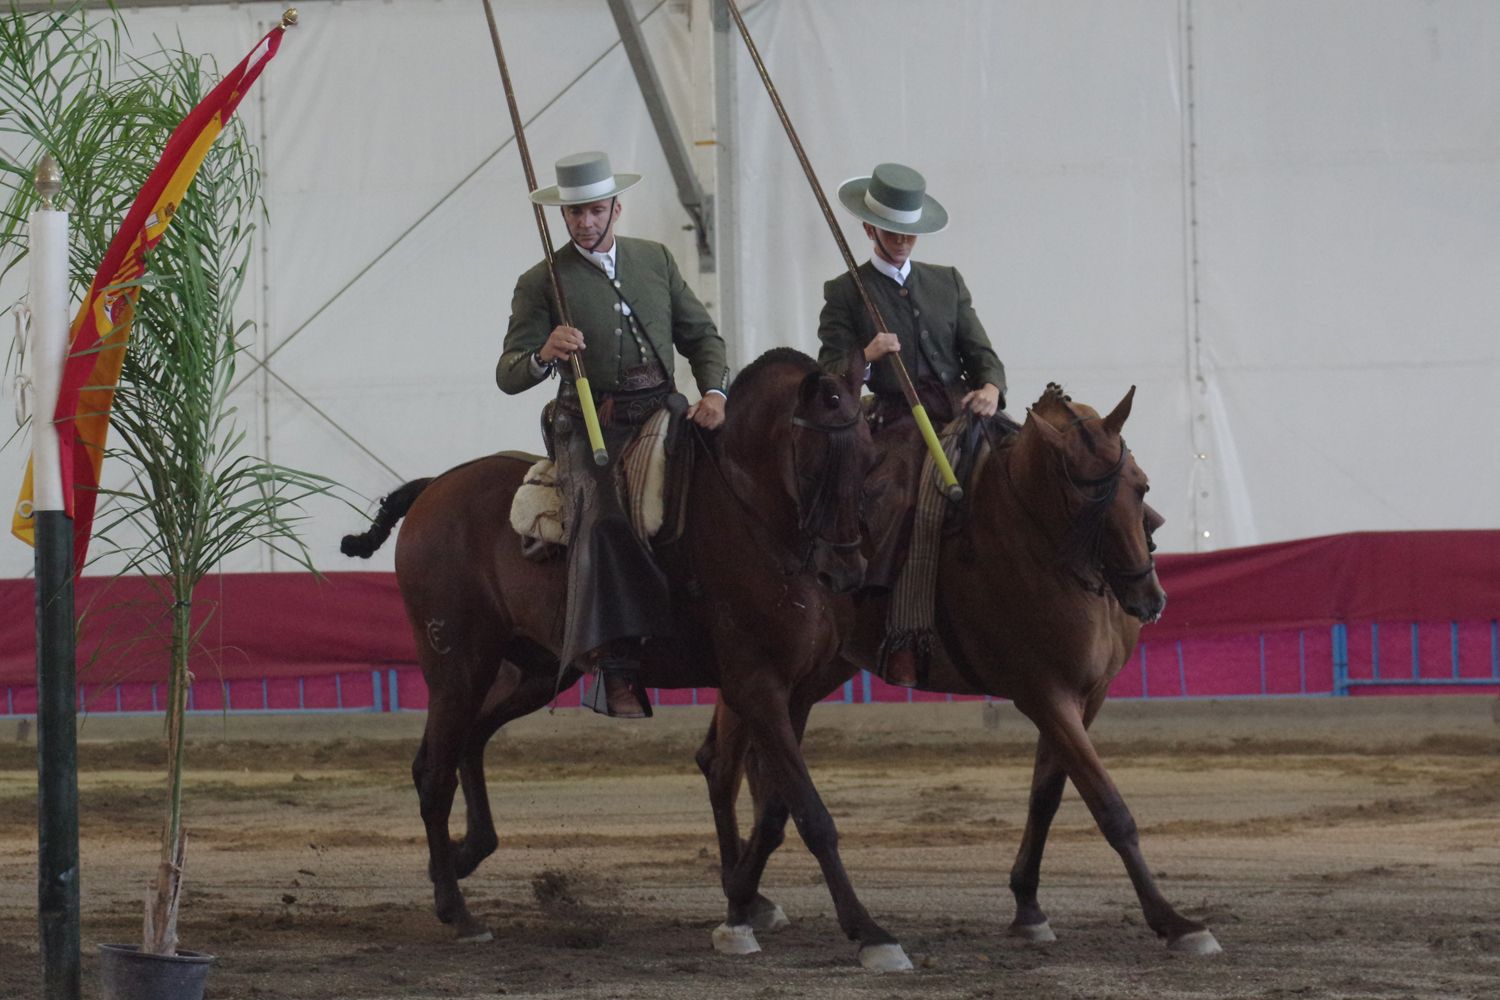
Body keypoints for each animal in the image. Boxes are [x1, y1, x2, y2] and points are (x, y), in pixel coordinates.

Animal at [342, 350, 918, 971]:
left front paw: (743, 902)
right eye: (813, 464)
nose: (847, 571)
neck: (752, 518)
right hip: (457, 666)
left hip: (539, 671)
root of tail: (436, 488)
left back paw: (461, 854)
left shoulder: (795, 693)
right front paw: (869, 932)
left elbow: (774, 811)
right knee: (433, 771)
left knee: (468, 743)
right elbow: (810, 813)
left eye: (868, 458)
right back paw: (457, 910)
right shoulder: (757, 688)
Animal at [690, 380, 1218, 953]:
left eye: (1140, 487)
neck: (1032, 538)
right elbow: (1109, 806)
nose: (1147, 598)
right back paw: (741, 896)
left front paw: (1028, 906)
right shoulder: (1044, 695)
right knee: (723, 767)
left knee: (757, 774)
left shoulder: (1085, 698)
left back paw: (754, 892)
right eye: (1081, 501)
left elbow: (1047, 796)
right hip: (758, 672)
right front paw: (1173, 921)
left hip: (813, 676)